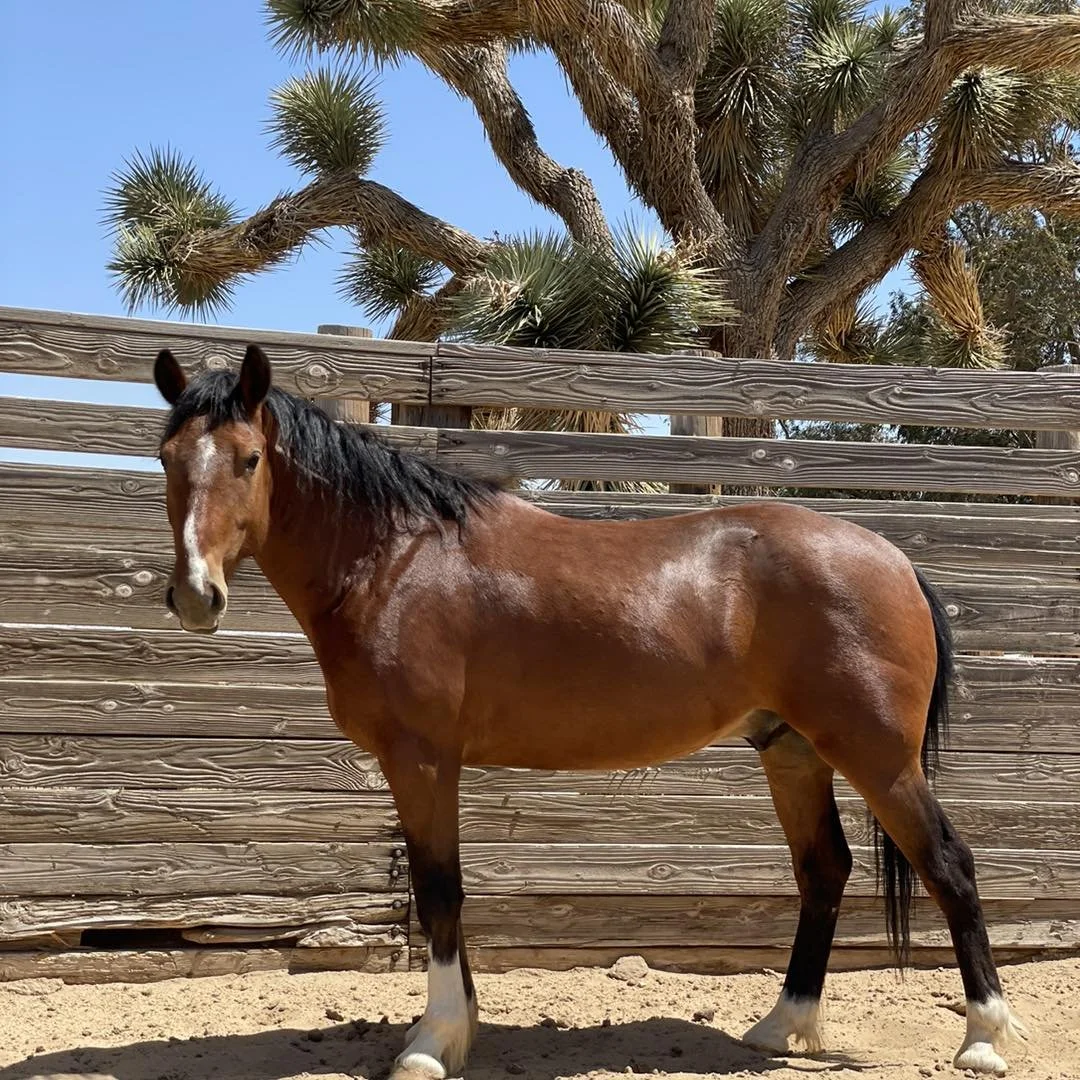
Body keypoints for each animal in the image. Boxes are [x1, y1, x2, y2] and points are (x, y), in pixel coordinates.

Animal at [151, 343, 1025, 1078]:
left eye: (249, 459)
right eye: (167, 459)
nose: (196, 596)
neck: (395, 560)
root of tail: (894, 560)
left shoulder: (422, 758)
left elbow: (439, 891)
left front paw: (432, 1043)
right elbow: (448, 892)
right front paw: (462, 1027)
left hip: (877, 756)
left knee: (949, 865)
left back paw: (984, 1039)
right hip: (793, 753)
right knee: (824, 872)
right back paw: (783, 1026)